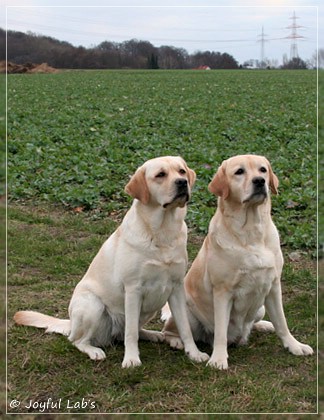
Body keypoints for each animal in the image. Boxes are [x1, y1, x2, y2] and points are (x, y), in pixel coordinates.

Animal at [13, 155, 208, 368]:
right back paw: (94, 351)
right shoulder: (133, 289)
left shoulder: (176, 288)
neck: (162, 232)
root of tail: (71, 323)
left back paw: (155, 334)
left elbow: (185, 328)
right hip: (93, 306)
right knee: (79, 340)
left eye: (181, 171)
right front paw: (131, 359)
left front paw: (194, 354)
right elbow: (130, 333)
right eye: (160, 175)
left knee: (128, 332)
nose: (182, 182)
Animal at [163, 153, 312, 368]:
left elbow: (282, 322)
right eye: (239, 172)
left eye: (262, 170)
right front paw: (218, 359)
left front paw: (294, 345)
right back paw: (176, 341)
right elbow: (221, 331)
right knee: (171, 330)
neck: (251, 232)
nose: (259, 181)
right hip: (187, 312)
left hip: (261, 308)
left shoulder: (274, 286)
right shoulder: (223, 292)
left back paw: (264, 325)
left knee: (260, 321)